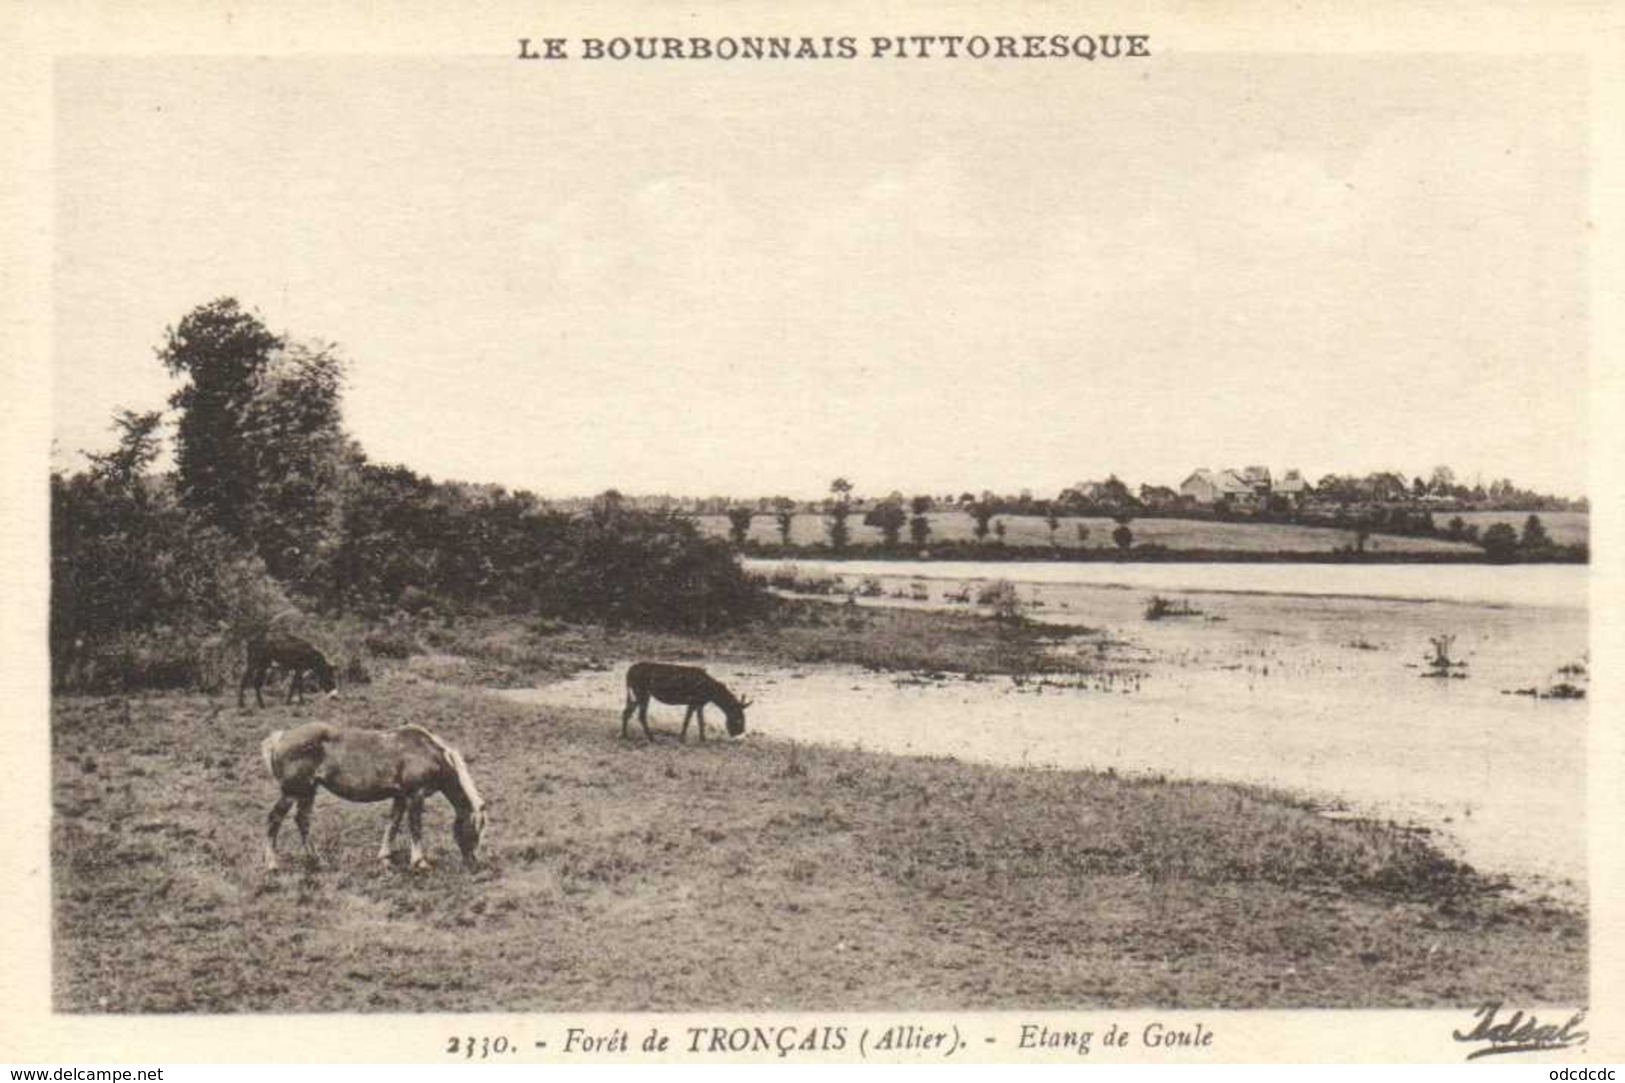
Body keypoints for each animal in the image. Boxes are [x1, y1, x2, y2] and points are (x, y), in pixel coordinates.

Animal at [617, 656, 750, 741]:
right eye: (739, 718)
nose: (739, 733)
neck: (711, 693)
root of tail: (628, 672)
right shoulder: (693, 701)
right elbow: (688, 720)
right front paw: (682, 738)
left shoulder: (699, 703)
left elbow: (700, 721)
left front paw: (702, 739)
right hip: (641, 692)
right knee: (640, 715)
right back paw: (651, 738)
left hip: (637, 693)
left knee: (626, 712)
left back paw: (625, 735)